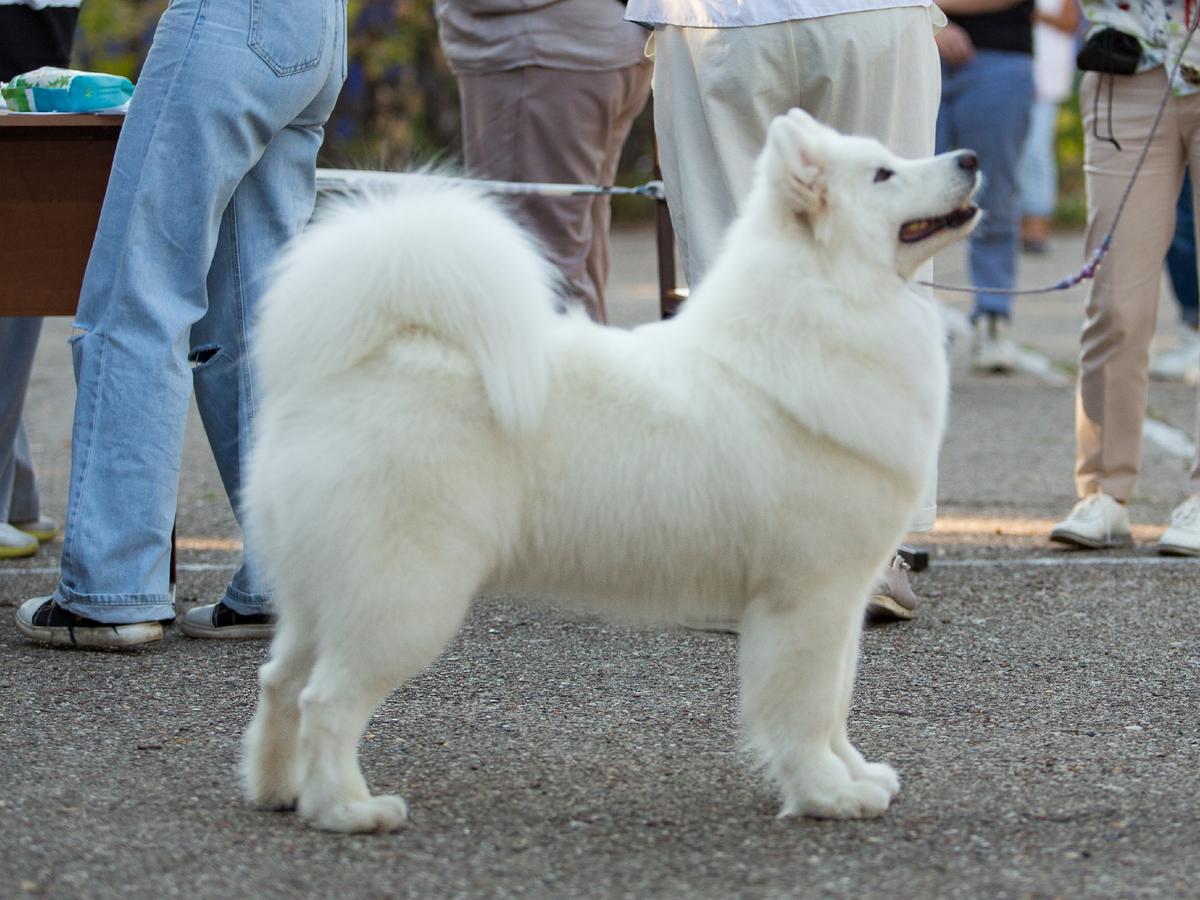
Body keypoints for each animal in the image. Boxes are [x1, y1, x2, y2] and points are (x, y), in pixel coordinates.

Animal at [238, 109, 979, 835]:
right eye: (883, 175)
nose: (970, 158)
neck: (829, 304)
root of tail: (358, 364)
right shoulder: (809, 595)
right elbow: (808, 708)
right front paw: (826, 795)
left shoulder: (843, 599)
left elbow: (837, 704)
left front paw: (855, 775)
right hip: (404, 596)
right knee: (326, 699)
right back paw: (347, 809)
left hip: (321, 593)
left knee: (280, 682)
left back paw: (280, 791)